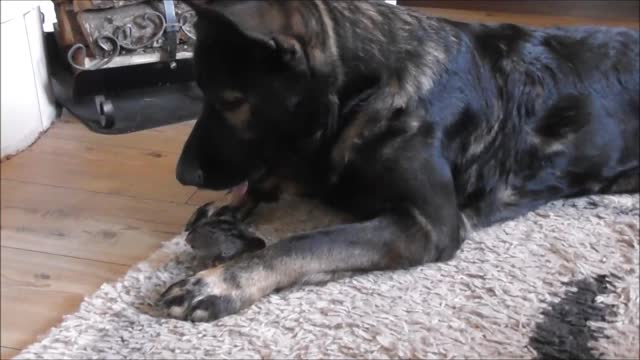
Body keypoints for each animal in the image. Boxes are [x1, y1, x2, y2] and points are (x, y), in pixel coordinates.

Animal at [158, 0, 636, 320]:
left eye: (232, 101)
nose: (183, 175)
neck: (368, 88)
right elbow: (277, 176)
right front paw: (228, 209)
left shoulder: (426, 225)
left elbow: (304, 242)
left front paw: (225, 281)